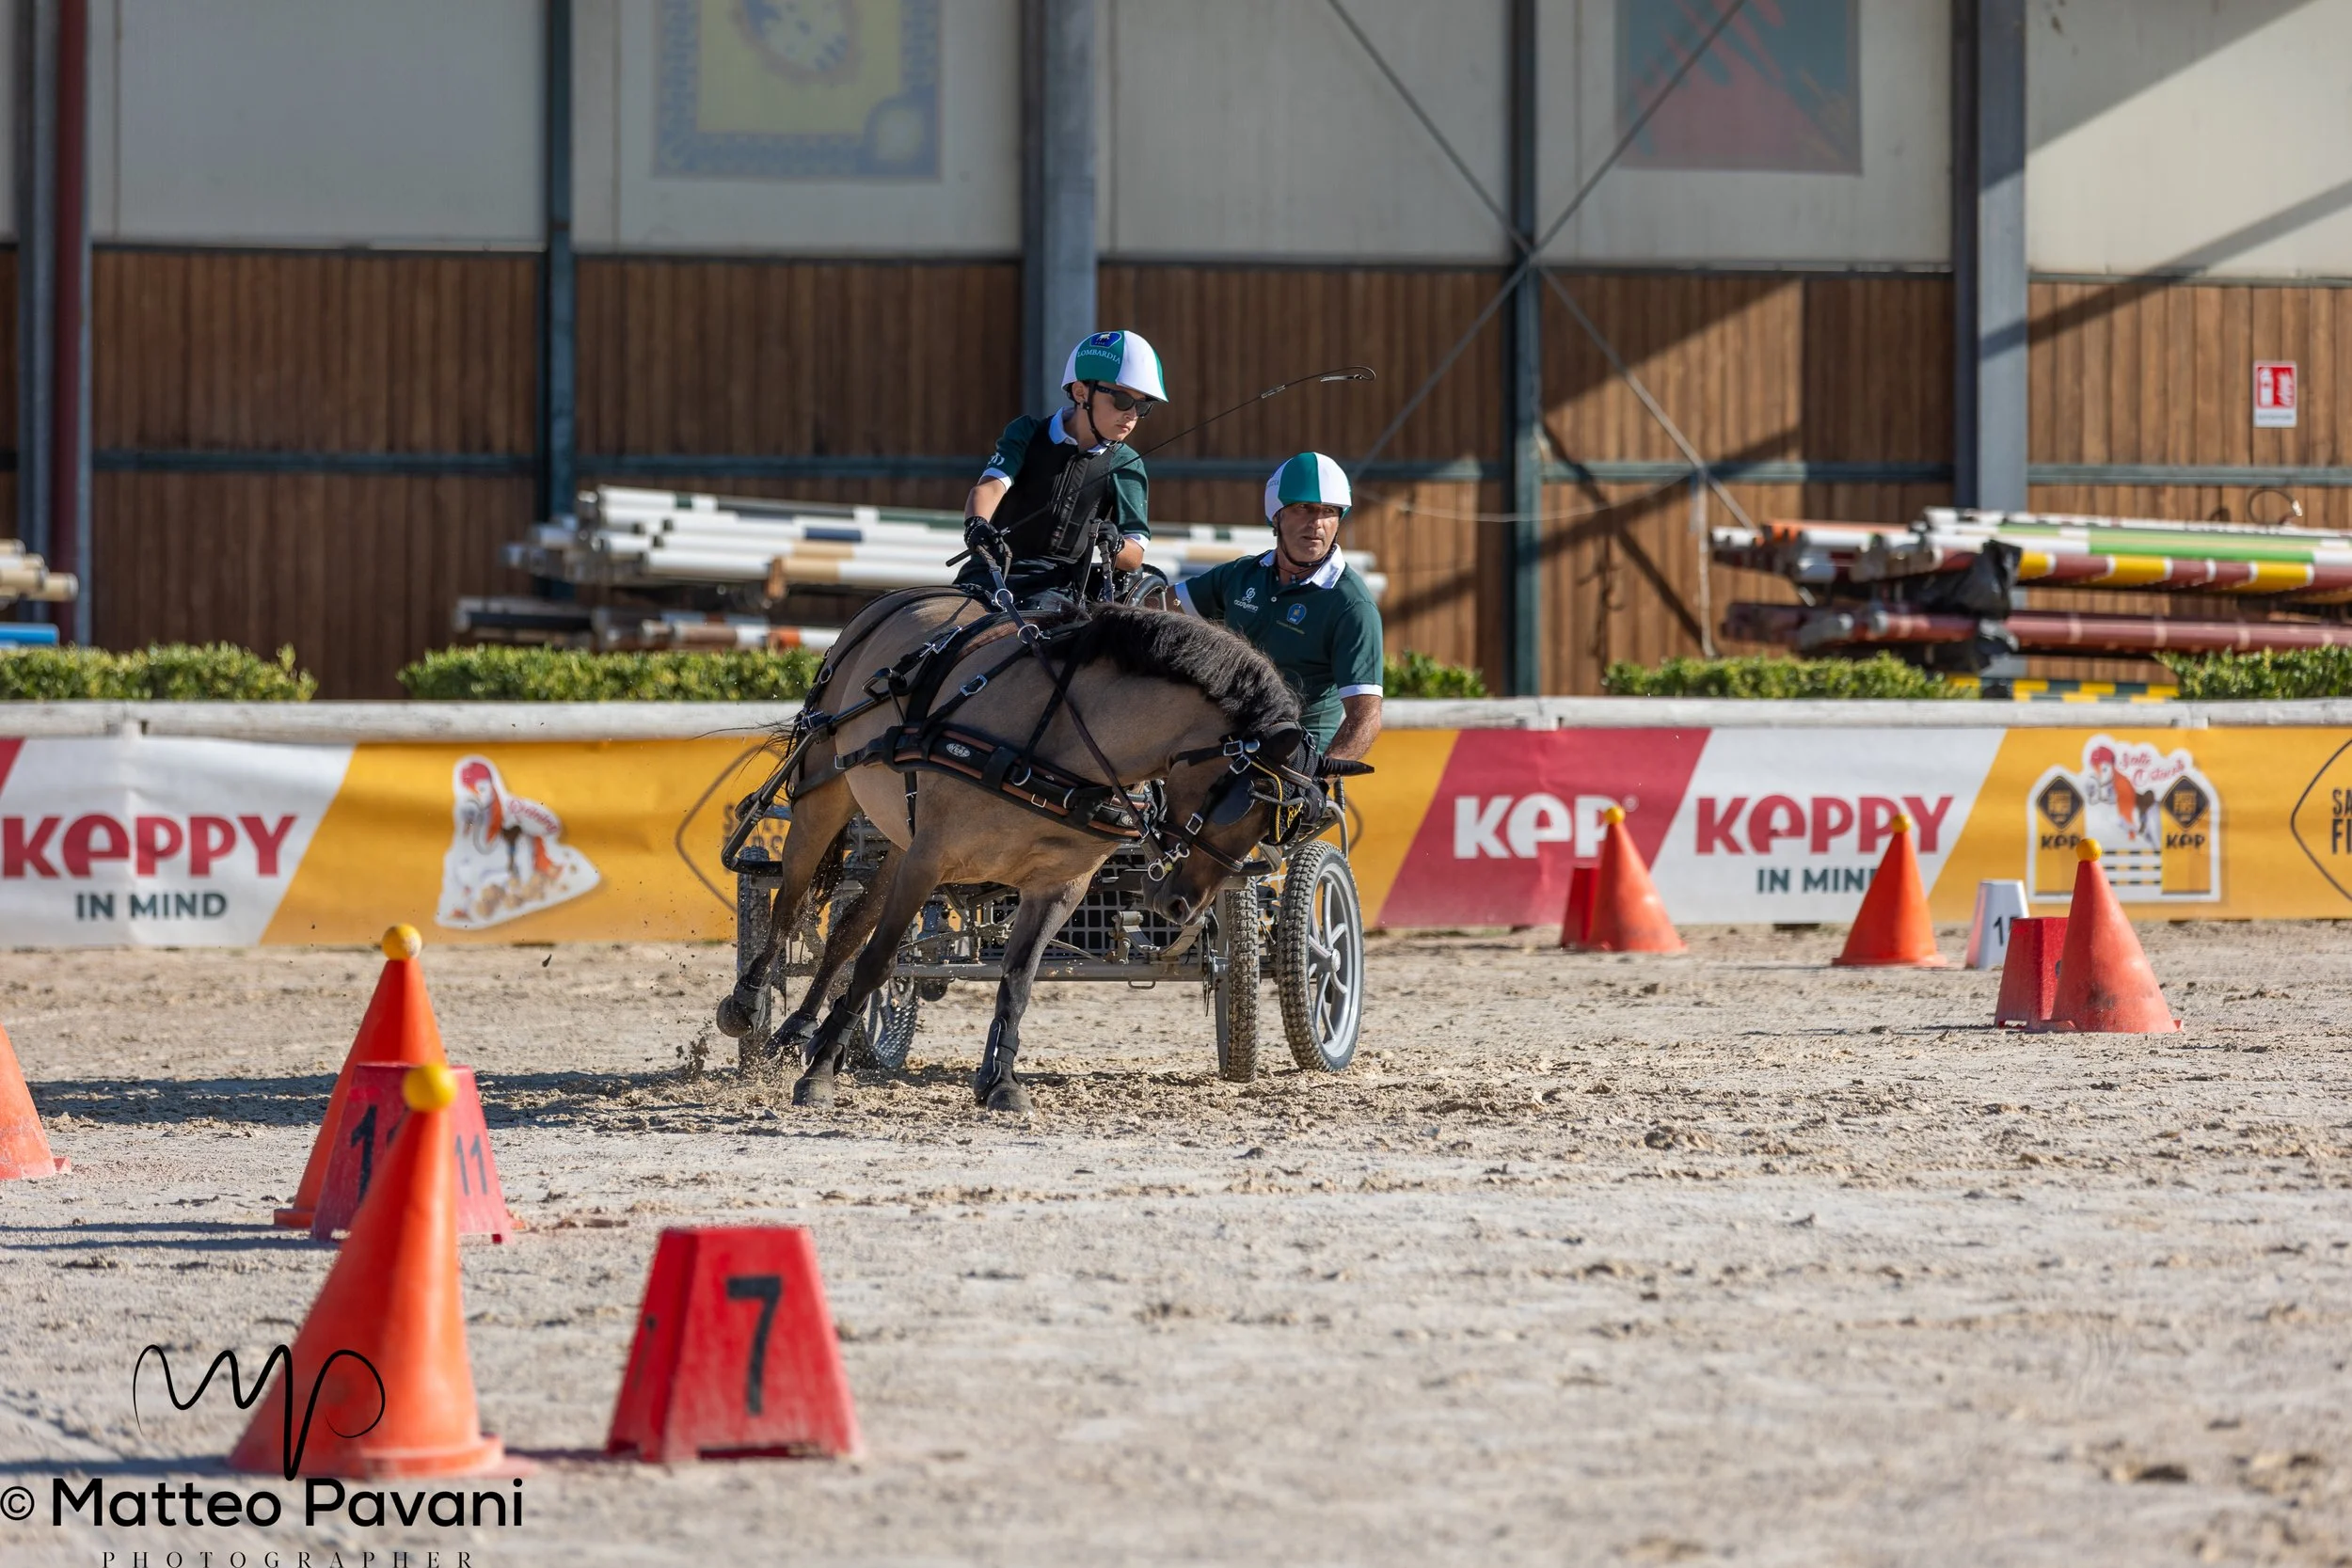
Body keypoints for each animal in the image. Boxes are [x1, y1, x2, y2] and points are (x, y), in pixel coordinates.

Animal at [715, 589, 1313, 1112]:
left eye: (1276, 825)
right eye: (1235, 801)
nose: (1181, 905)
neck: (1053, 750)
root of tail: (902, 597)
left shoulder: (1059, 885)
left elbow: (1018, 979)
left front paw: (1000, 1081)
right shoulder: (930, 858)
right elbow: (878, 962)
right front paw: (818, 1077)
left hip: (901, 839)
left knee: (846, 929)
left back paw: (803, 1030)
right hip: (827, 790)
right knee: (791, 904)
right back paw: (750, 1006)